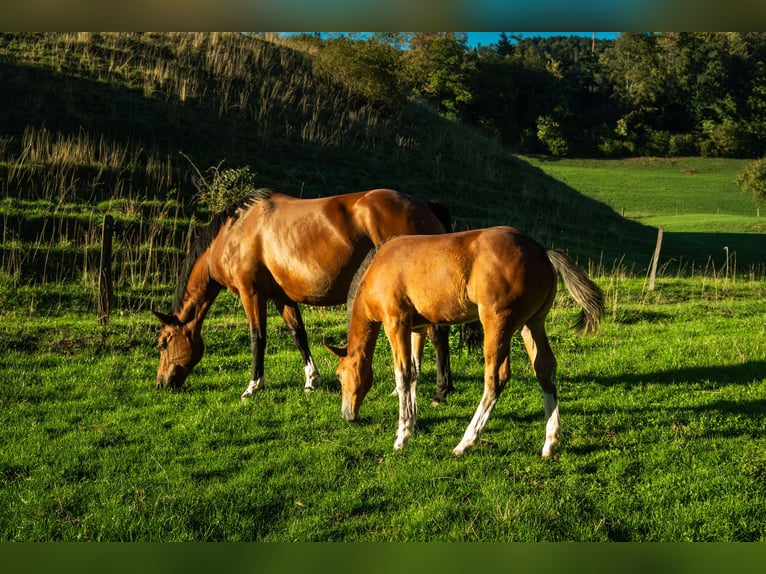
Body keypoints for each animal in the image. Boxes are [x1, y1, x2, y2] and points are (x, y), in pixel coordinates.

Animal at [153, 188, 454, 402]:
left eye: (163, 343)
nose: (161, 384)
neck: (233, 234)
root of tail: (426, 205)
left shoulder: (251, 293)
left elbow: (257, 337)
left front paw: (253, 386)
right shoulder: (282, 297)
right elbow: (299, 334)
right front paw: (311, 380)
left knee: (437, 334)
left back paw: (441, 391)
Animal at [326, 226, 604, 457]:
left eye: (339, 375)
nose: (346, 415)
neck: (379, 269)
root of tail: (540, 251)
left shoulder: (396, 324)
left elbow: (403, 375)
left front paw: (402, 436)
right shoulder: (417, 328)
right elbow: (415, 372)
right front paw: (413, 422)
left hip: (497, 325)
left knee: (495, 378)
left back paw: (466, 441)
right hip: (531, 324)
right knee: (545, 369)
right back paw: (550, 442)